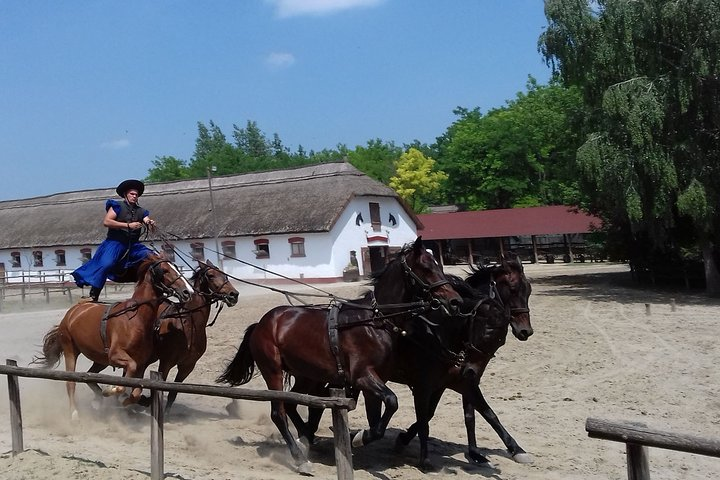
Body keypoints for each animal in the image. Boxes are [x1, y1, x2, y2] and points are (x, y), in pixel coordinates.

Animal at [33, 254, 194, 419]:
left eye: (175, 267)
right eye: (164, 270)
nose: (188, 292)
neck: (135, 318)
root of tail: (73, 311)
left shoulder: (141, 363)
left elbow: (136, 391)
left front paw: (125, 400)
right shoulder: (116, 356)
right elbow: (126, 378)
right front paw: (112, 390)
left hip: (100, 359)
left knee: (90, 374)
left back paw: (97, 400)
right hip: (71, 350)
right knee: (71, 382)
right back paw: (74, 413)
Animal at [84, 260, 240, 413]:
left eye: (224, 275)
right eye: (211, 275)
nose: (234, 294)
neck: (189, 325)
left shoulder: (187, 366)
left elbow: (173, 393)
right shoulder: (166, 362)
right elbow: (159, 386)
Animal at [216, 237, 462, 474]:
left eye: (439, 265)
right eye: (426, 268)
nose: (455, 301)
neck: (373, 322)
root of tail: (262, 323)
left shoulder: (373, 382)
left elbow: (378, 421)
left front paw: (359, 438)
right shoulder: (362, 376)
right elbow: (392, 401)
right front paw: (358, 438)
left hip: (307, 374)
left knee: (292, 404)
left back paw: (308, 439)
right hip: (273, 370)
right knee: (279, 413)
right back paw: (300, 458)